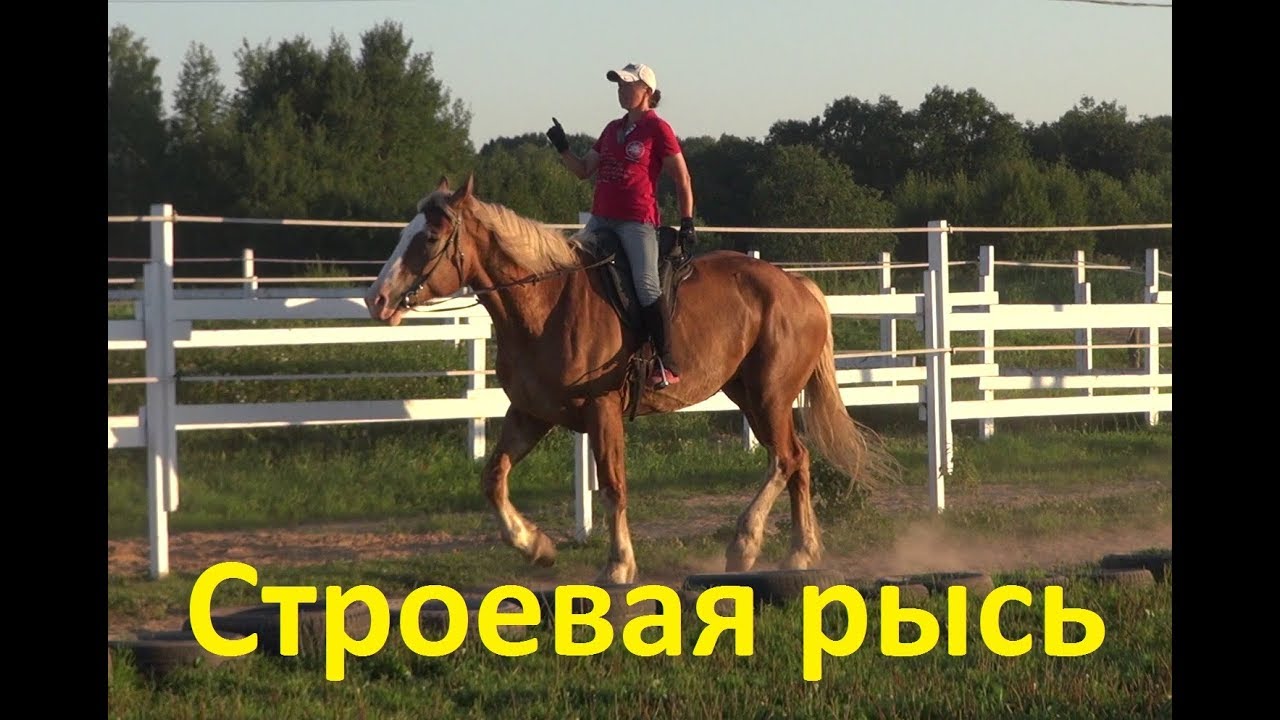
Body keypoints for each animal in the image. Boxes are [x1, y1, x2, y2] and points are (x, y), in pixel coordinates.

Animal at [364, 173, 900, 585]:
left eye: (429, 238)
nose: (377, 300)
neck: (549, 303)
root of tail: (798, 285)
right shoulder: (531, 413)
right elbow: (494, 478)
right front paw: (536, 545)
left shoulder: (602, 412)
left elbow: (613, 486)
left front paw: (618, 565)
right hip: (749, 395)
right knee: (798, 461)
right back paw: (798, 552)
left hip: (769, 396)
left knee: (786, 459)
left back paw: (746, 545)